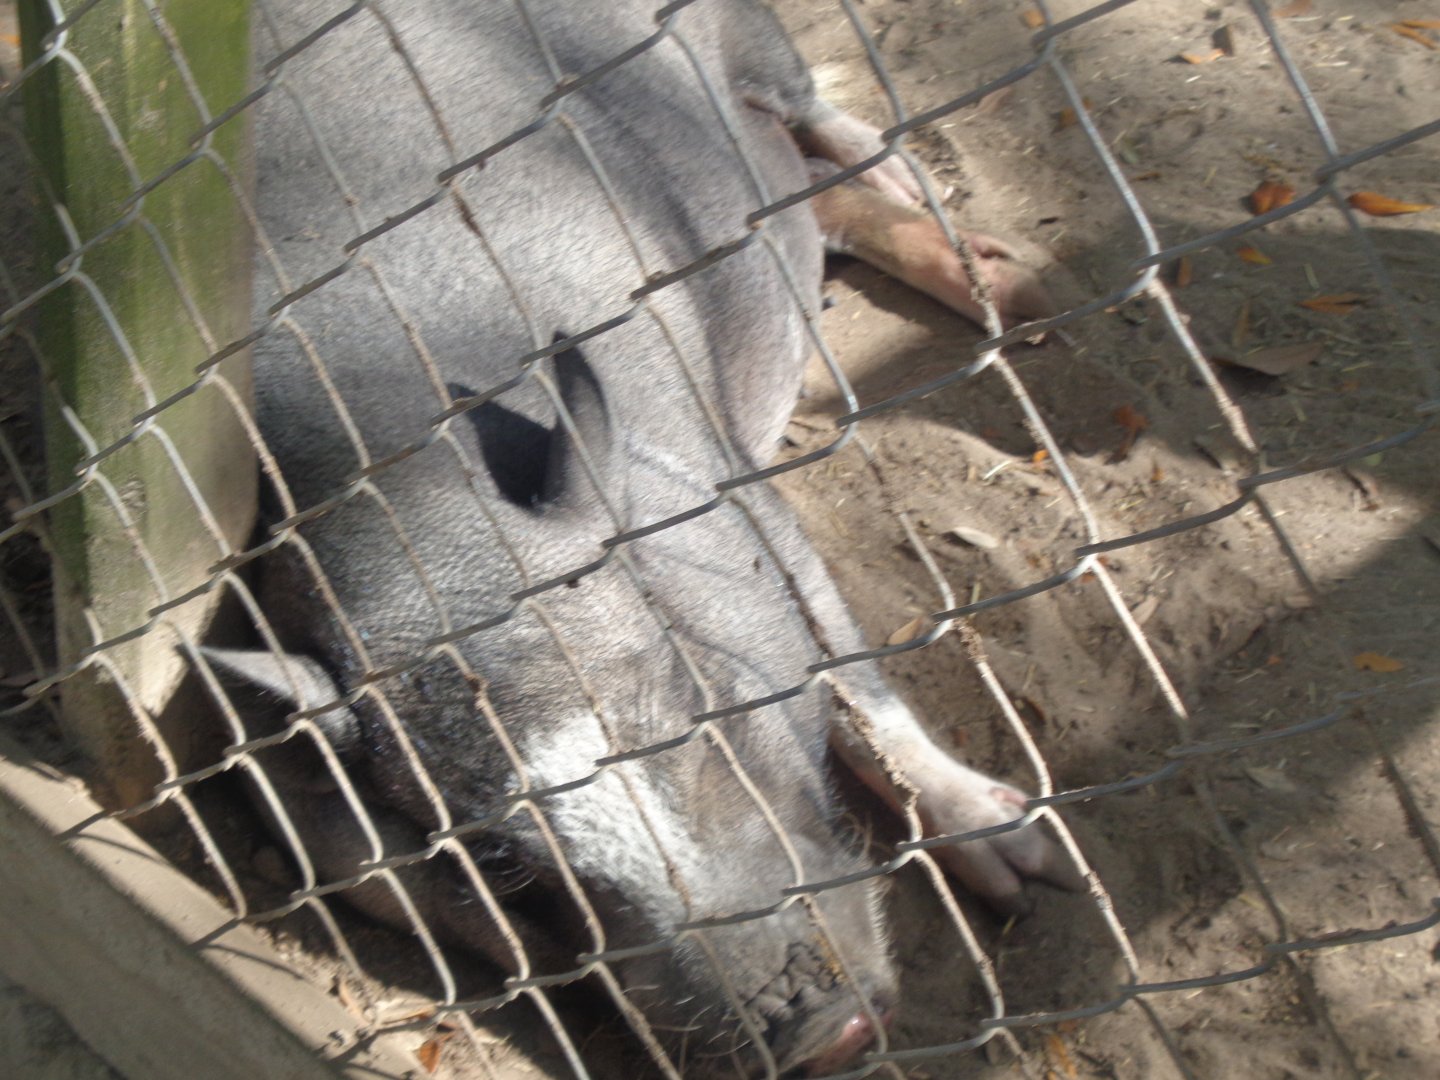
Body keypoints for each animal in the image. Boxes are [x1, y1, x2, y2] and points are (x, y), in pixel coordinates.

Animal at [203, 0, 1074, 1074]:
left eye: (707, 700)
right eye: (503, 865)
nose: (830, 1033)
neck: (411, 476)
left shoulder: (729, 499)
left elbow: (858, 681)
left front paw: (1028, 866)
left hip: (745, 40)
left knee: (815, 116)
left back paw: (1001, 275)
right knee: (811, 195)